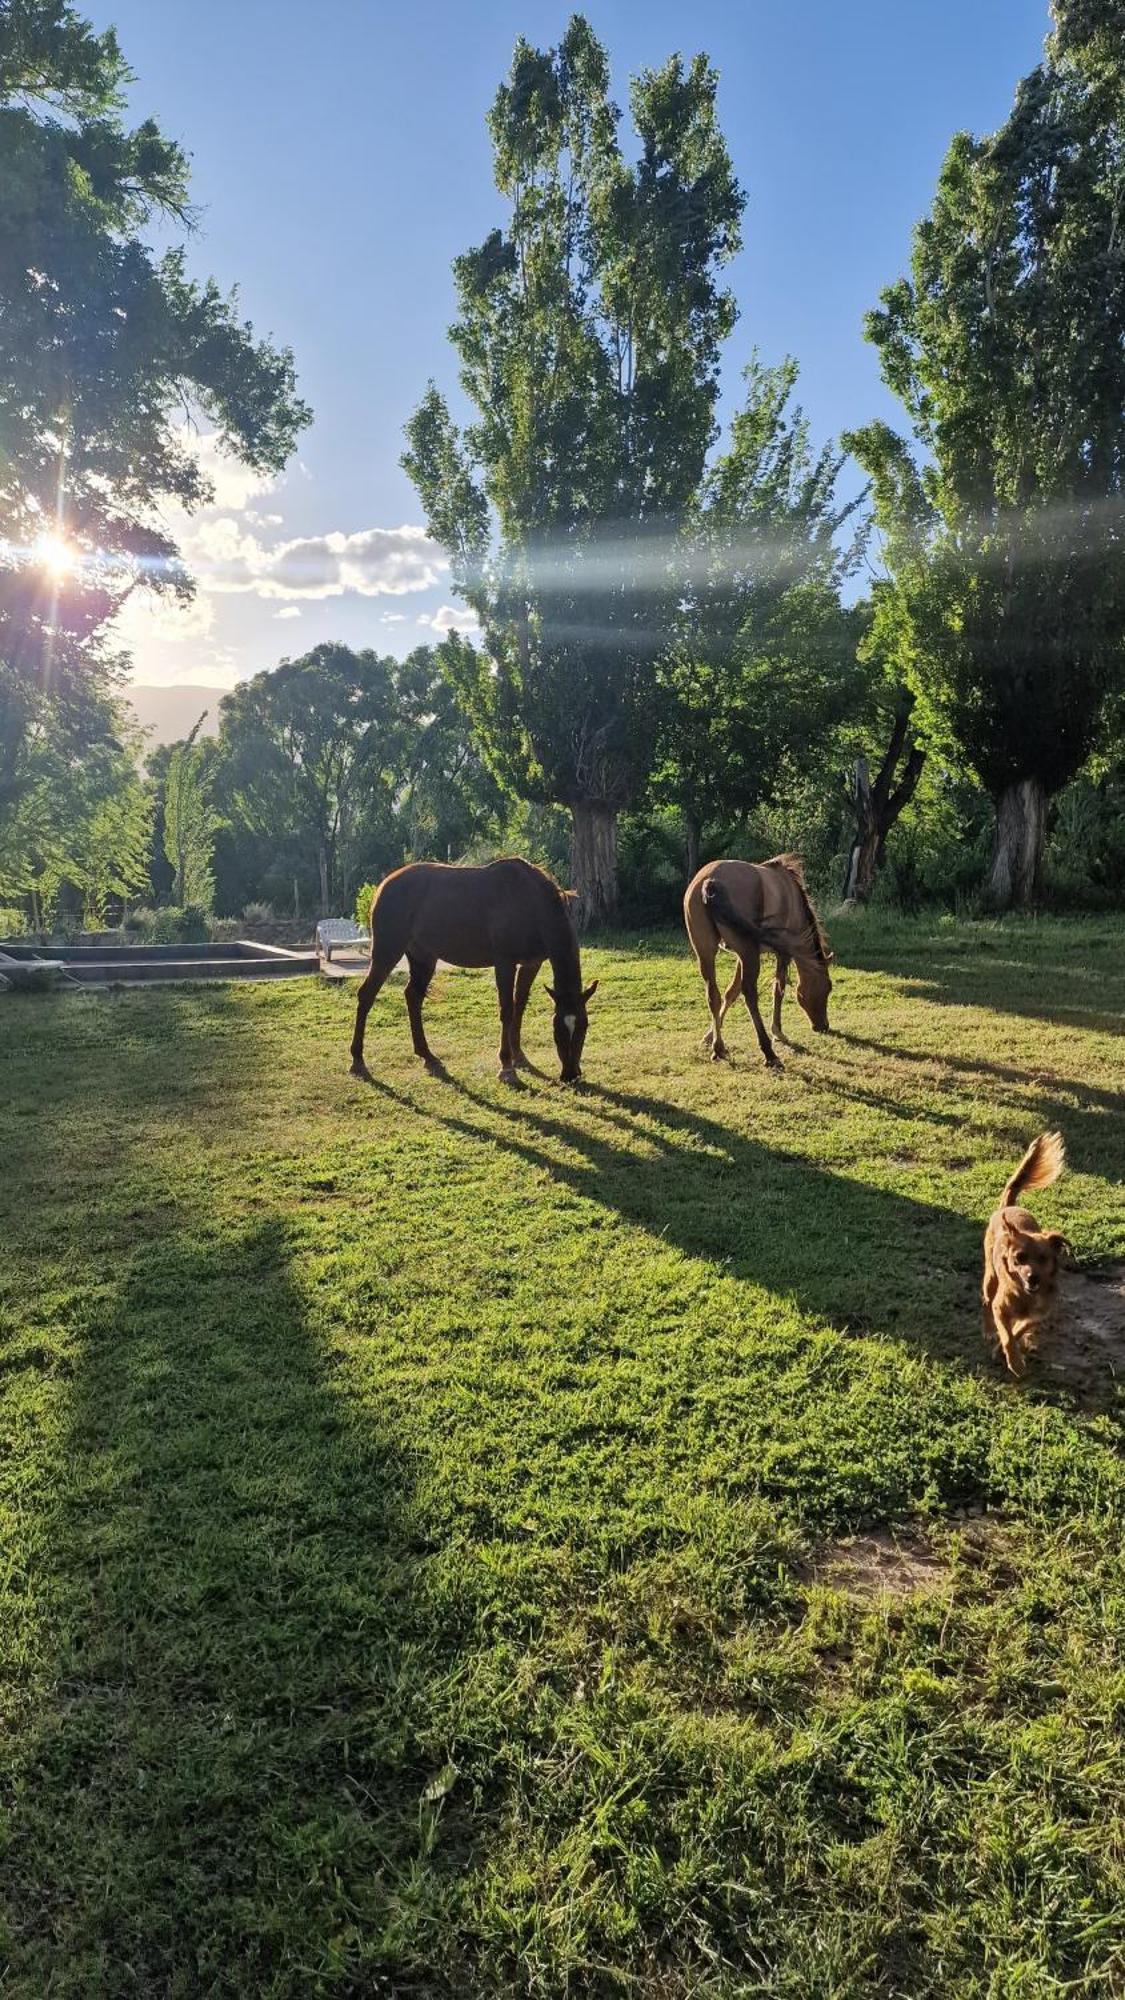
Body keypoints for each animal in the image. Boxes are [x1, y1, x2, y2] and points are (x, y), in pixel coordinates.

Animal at [348, 856, 596, 1088]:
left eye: (584, 1026)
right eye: (558, 1028)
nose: (570, 1075)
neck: (530, 902)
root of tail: (384, 885)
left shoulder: (531, 964)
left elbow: (519, 1006)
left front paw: (518, 1056)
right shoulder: (504, 963)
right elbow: (507, 1010)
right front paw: (506, 1066)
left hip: (423, 957)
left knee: (413, 997)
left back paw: (426, 1054)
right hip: (388, 951)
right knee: (366, 995)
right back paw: (358, 1060)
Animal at [680, 860, 828, 1080]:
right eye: (827, 989)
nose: (824, 1026)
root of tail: (710, 881)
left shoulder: (741, 956)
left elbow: (730, 993)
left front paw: (710, 1035)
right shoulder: (781, 954)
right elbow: (778, 990)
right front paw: (777, 1031)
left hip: (707, 951)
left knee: (713, 994)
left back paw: (718, 1048)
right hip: (747, 953)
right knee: (749, 994)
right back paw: (769, 1053)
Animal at [976, 1144, 1064, 1376]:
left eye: (1043, 1258)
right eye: (1019, 1258)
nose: (1032, 1278)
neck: (1026, 1297)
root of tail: (1008, 1207)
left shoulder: (1037, 1316)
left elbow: (1017, 1331)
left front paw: (1007, 1349)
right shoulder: (1000, 1309)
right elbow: (1007, 1336)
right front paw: (1015, 1362)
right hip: (990, 1278)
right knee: (985, 1302)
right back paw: (989, 1330)